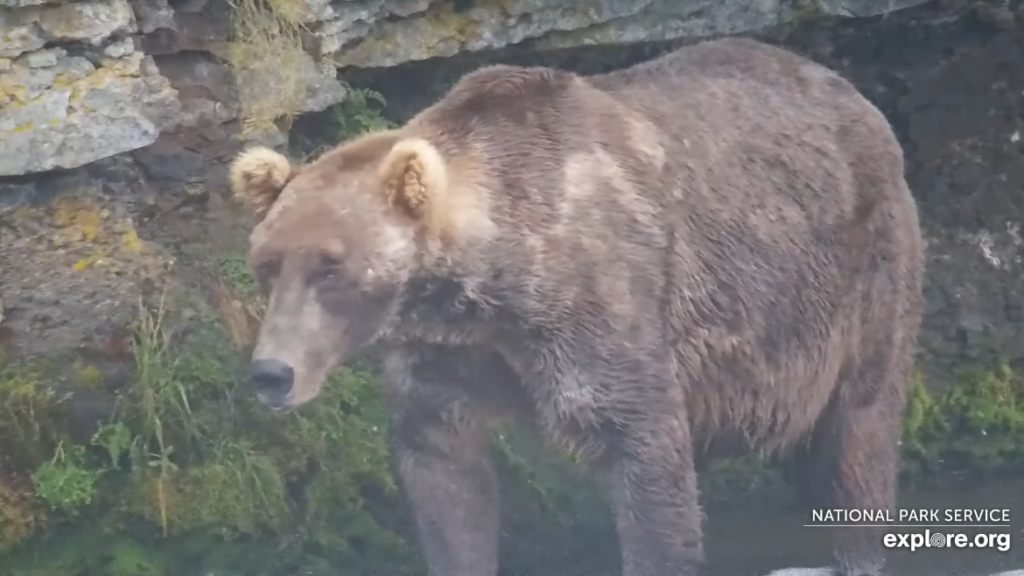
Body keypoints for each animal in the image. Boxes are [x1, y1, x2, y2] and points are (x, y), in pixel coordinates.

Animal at [232, 35, 929, 573]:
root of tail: (852, 94)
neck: (487, 288)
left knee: (859, 433)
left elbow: (645, 458)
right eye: (268, 263)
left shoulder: (602, 318)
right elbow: (444, 479)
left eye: (331, 267)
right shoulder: (441, 360)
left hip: (859, 280)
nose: (271, 373)